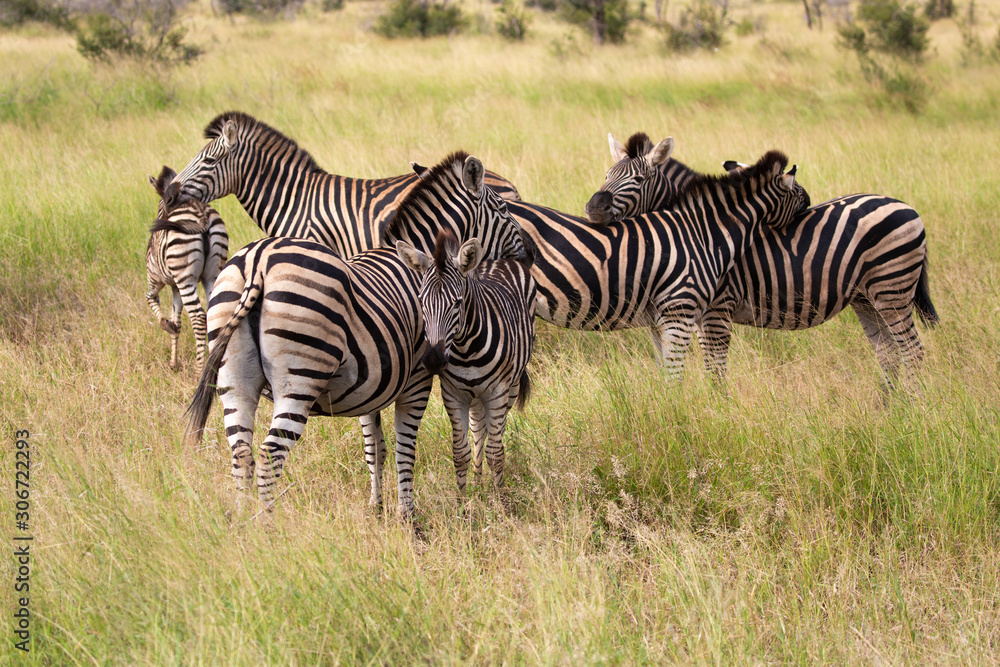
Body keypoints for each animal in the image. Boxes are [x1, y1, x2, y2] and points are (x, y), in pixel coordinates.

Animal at [146, 166, 229, 373]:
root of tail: (201, 215)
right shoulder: (175, 288)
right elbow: (177, 319)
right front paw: (173, 363)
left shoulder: (155, 281)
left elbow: (152, 301)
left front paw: (166, 325)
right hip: (212, 275)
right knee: (215, 312)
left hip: (186, 278)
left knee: (198, 317)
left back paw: (199, 369)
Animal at [387, 149, 807, 381]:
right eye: (801, 196)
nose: (809, 210)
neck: (700, 230)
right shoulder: (688, 310)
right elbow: (699, 372)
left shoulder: (663, 315)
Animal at [396, 230, 536, 491]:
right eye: (421, 301)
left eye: (457, 302)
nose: (433, 360)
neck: (465, 349)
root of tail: (498, 259)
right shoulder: (454, 395)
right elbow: (460, 453)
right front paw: (464, 500)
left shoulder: (497, 393)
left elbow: (496, 453)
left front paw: (501, 500)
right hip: (475, 397)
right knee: (478, 430)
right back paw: (479, 483)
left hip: (508, 389)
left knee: (492, 432)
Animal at [585, 132, 939, 386]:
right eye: (606, 174)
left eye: (638, 180)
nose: (593, 208)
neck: (697, 227)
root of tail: (908, 207)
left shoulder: (716, 309)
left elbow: (715, 370)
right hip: (866, 298)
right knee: (889, 354)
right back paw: (887, 410)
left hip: (892, 288)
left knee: (913, 351)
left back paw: (912, 410)